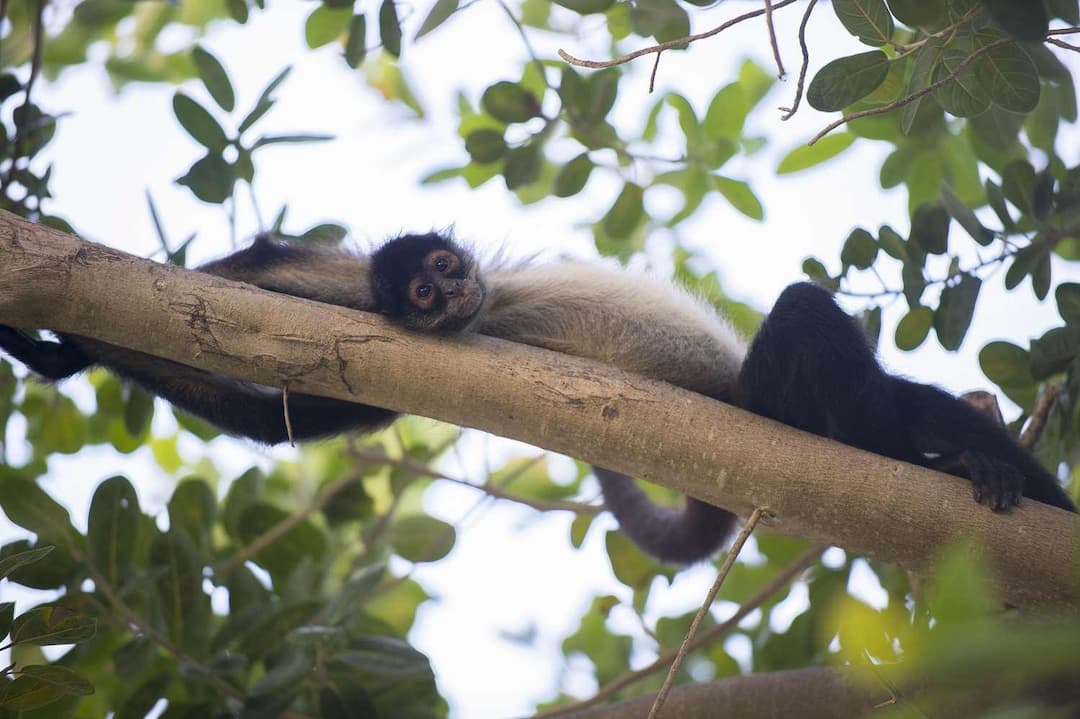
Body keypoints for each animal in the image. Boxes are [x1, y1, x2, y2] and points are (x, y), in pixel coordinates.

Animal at [0, 232, 1075, 561]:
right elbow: (283, 418)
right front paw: (65, 348)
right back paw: (959, 457)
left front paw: (65, 336)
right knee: (841, 368)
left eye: (443, 268)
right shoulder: (387, 341)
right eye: (421, 295)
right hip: (782, 400)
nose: (454, 292)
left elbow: (257, 269)